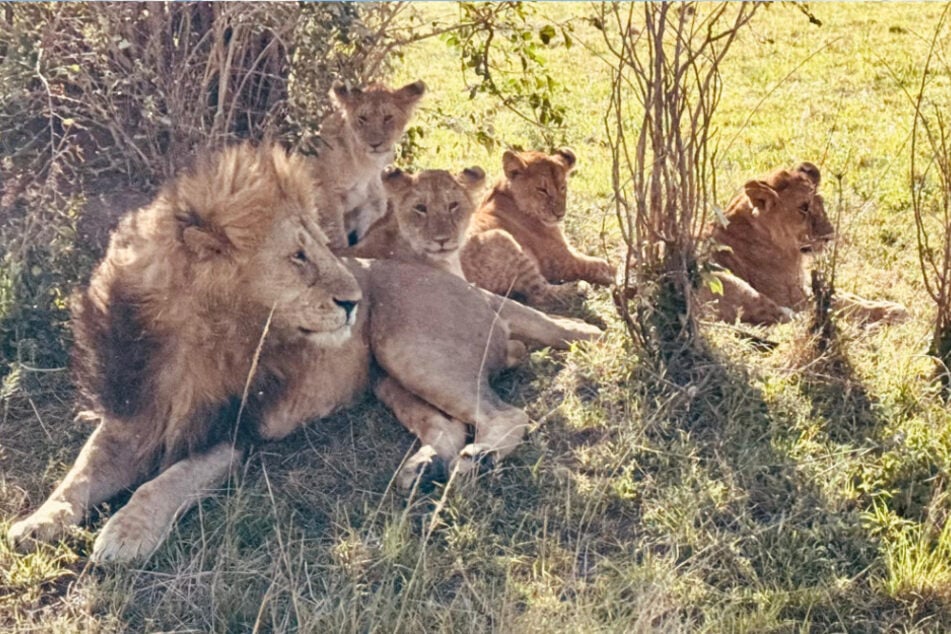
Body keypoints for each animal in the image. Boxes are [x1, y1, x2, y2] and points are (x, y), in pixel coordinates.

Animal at [7, 144, 600, 564]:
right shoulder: (131, 417)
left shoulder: (234, 432)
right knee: (450, 427)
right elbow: (78, 476)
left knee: (505, 415)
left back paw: (483, 458)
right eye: (298, 256)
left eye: (320, 246)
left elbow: (162, 482)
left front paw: (125, 534)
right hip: (386, 375)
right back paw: (421, 469)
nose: (354, 301)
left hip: (408, 346)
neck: (188, 335)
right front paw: (37, 522)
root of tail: (469, 286)